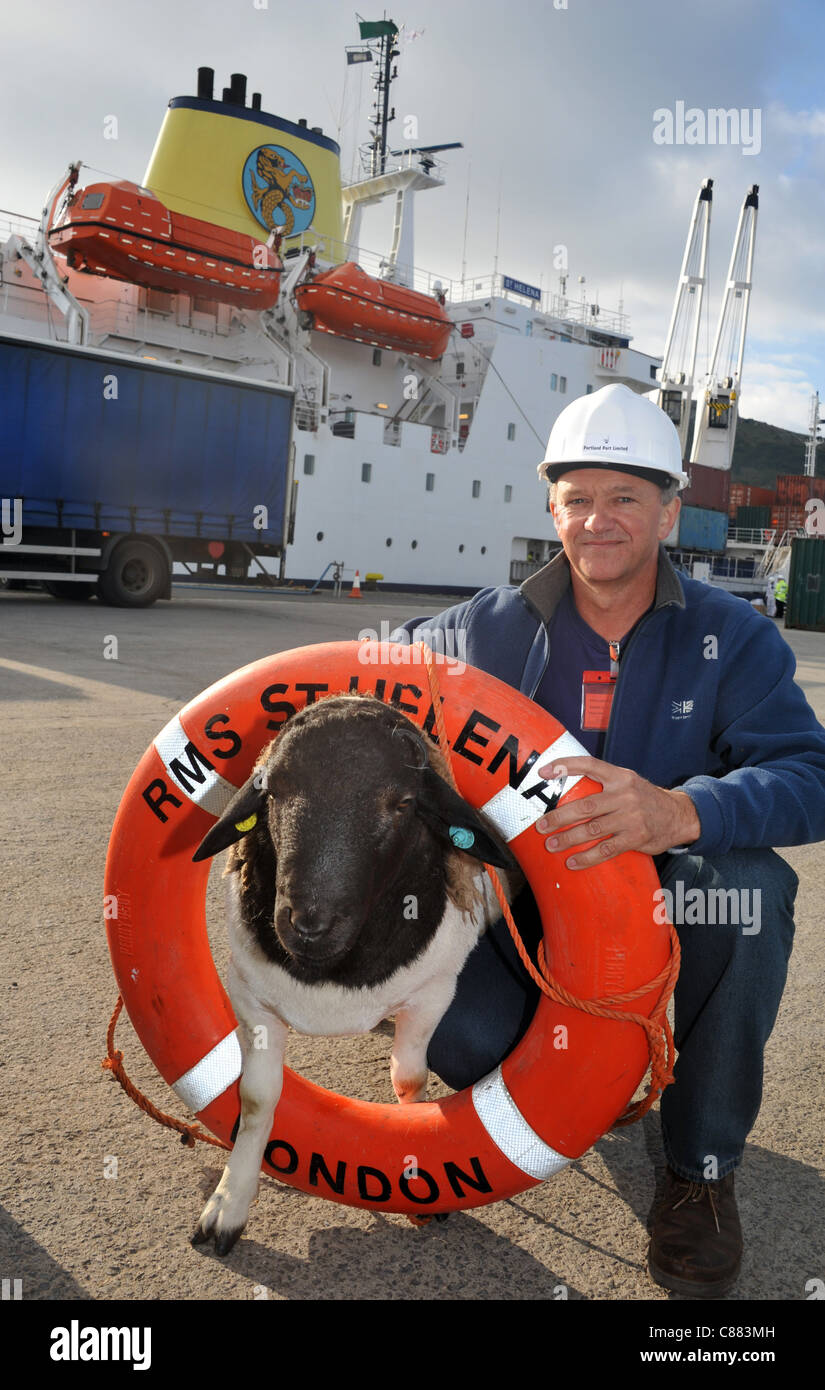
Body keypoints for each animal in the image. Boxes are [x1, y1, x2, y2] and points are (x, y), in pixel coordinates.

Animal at [188, 689, 516, 1256]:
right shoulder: (250, 996)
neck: (333, 971)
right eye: (272, 789)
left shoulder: (434, 994)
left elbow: (410, 1080)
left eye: (402, 803)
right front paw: (228, 1205)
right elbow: (256, 1099)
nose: (308, 924)